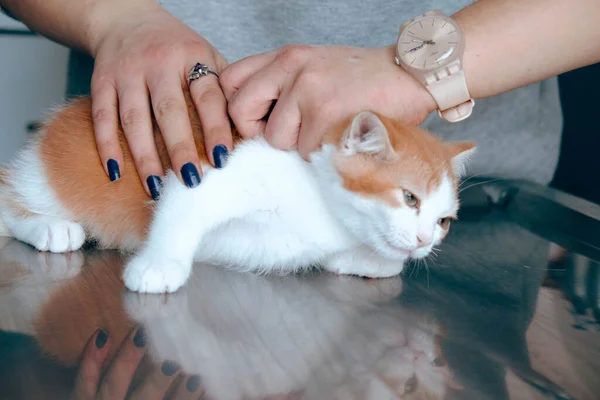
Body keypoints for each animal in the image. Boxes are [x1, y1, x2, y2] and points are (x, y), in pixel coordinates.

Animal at [0, 91, 478, 294]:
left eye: (444, 221)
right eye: (409, 197)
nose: (424, 240)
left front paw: (372, 262)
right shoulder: (209, 171)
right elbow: (180, 212)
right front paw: (159, 265)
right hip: (51, 178)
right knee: (6, 199)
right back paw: (50, 228)